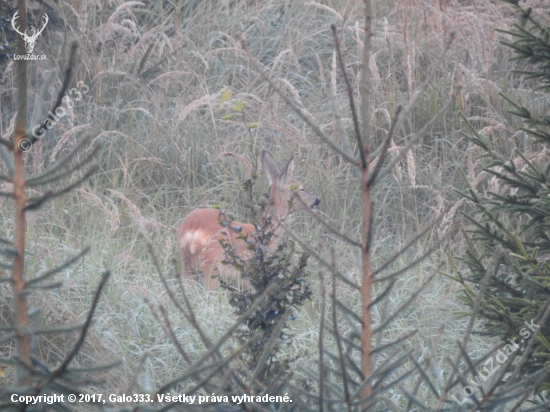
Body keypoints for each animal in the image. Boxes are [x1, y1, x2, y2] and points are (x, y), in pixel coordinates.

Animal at [179, 151, 322, 290]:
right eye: (301, 188)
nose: (317, 201)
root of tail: (192, 230)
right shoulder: (251, 274)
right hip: (213, 263)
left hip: (188, 265)